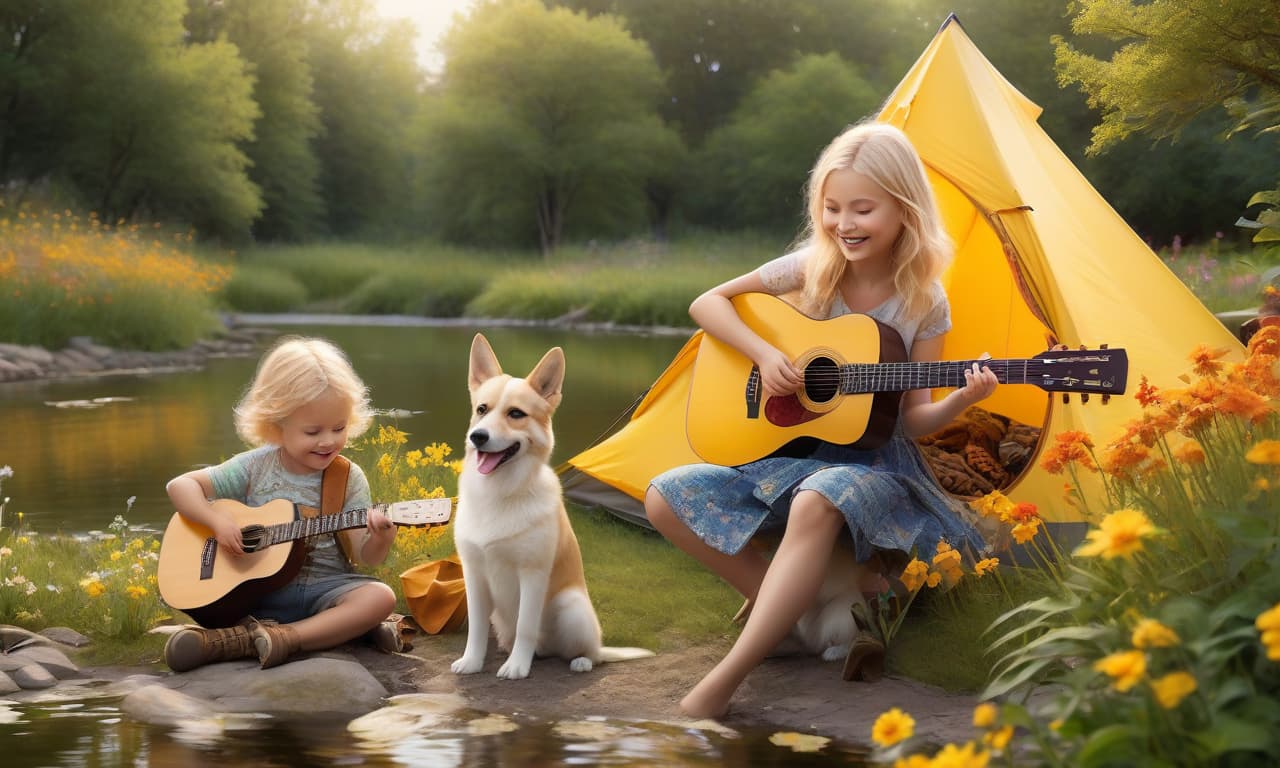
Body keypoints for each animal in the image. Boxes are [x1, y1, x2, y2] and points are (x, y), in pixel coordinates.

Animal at [450, 330, 650, 675]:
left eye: (516, 414)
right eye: (482, 409)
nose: (478, 437)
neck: (500, 494)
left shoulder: (533, 574)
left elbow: (526, 626)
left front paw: (517, 668)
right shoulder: (473, 575)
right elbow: (475, 628)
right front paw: (472, 662)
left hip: (571, 606)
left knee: (589, 652)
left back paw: (579, 661)